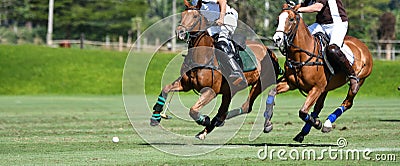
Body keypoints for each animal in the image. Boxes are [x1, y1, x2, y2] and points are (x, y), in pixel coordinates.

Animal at [148, 0, 280, 140]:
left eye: (195, 16)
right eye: (182, 15)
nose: (180, 32)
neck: (201, 56)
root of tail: (269, 51)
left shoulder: (211, 91)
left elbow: (193, 110)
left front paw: (204, 119)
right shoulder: (186, 85)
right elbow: (166, 88)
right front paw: (155, 117)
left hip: (260, 84)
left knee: (245, 107)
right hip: (231, 90)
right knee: (225, 110)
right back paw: (210, 127)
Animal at [264, 3, 374, 142]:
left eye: (291, 19)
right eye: (278, 19)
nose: (277, 39)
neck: (301, 56)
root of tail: (363, 46)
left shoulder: (316, 88)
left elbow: (302, 111)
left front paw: (317, 123)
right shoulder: (291, 83)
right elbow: (272, 92)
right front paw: (267, 123)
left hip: (360, 79)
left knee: (348, 102)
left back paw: (327, 123)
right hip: (325, 87)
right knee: (318, 106)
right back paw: (303, 132)